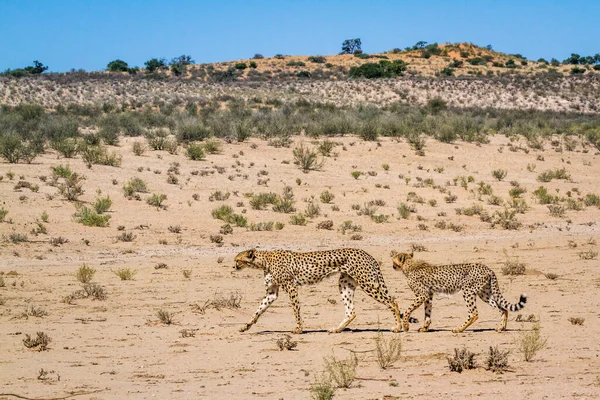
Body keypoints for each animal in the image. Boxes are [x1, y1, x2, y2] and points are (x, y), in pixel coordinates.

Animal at [234, 248, 404, 332]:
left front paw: (298, 329)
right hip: (344, 283)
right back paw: (337, 329)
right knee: (351, 311)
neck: (264, 261)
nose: (233, 266)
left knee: (393, 302)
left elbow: (296, 309)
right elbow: (258, 310)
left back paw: (398, 327)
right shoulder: (272, 293)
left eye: (237, 260)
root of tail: (367, 253)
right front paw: (246, 326)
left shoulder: (291, 287)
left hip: (367, 283)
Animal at [390, 252, 524, 332]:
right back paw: (501, 327)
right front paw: (425, 328)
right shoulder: (429, 295)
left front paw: (406, 326)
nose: (392, 266)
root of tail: (487, 268)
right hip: (485, 293)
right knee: (503, 308)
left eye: (394, 260)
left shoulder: (422, 294)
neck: (409, 265)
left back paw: (459, 329)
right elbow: (427, 313)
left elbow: (408, 310)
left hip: (468, 291)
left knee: (474, 313)